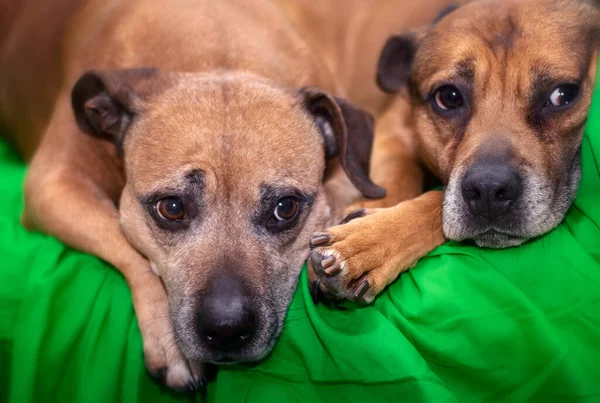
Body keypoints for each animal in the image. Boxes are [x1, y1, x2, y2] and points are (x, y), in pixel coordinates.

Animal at [310, 0, 600, 304]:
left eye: (562, 95)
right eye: (448, 97)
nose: (489, 191)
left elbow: (436, 198)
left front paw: (367, 241)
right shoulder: (392, 129)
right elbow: (399, 175)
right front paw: (373, 222)